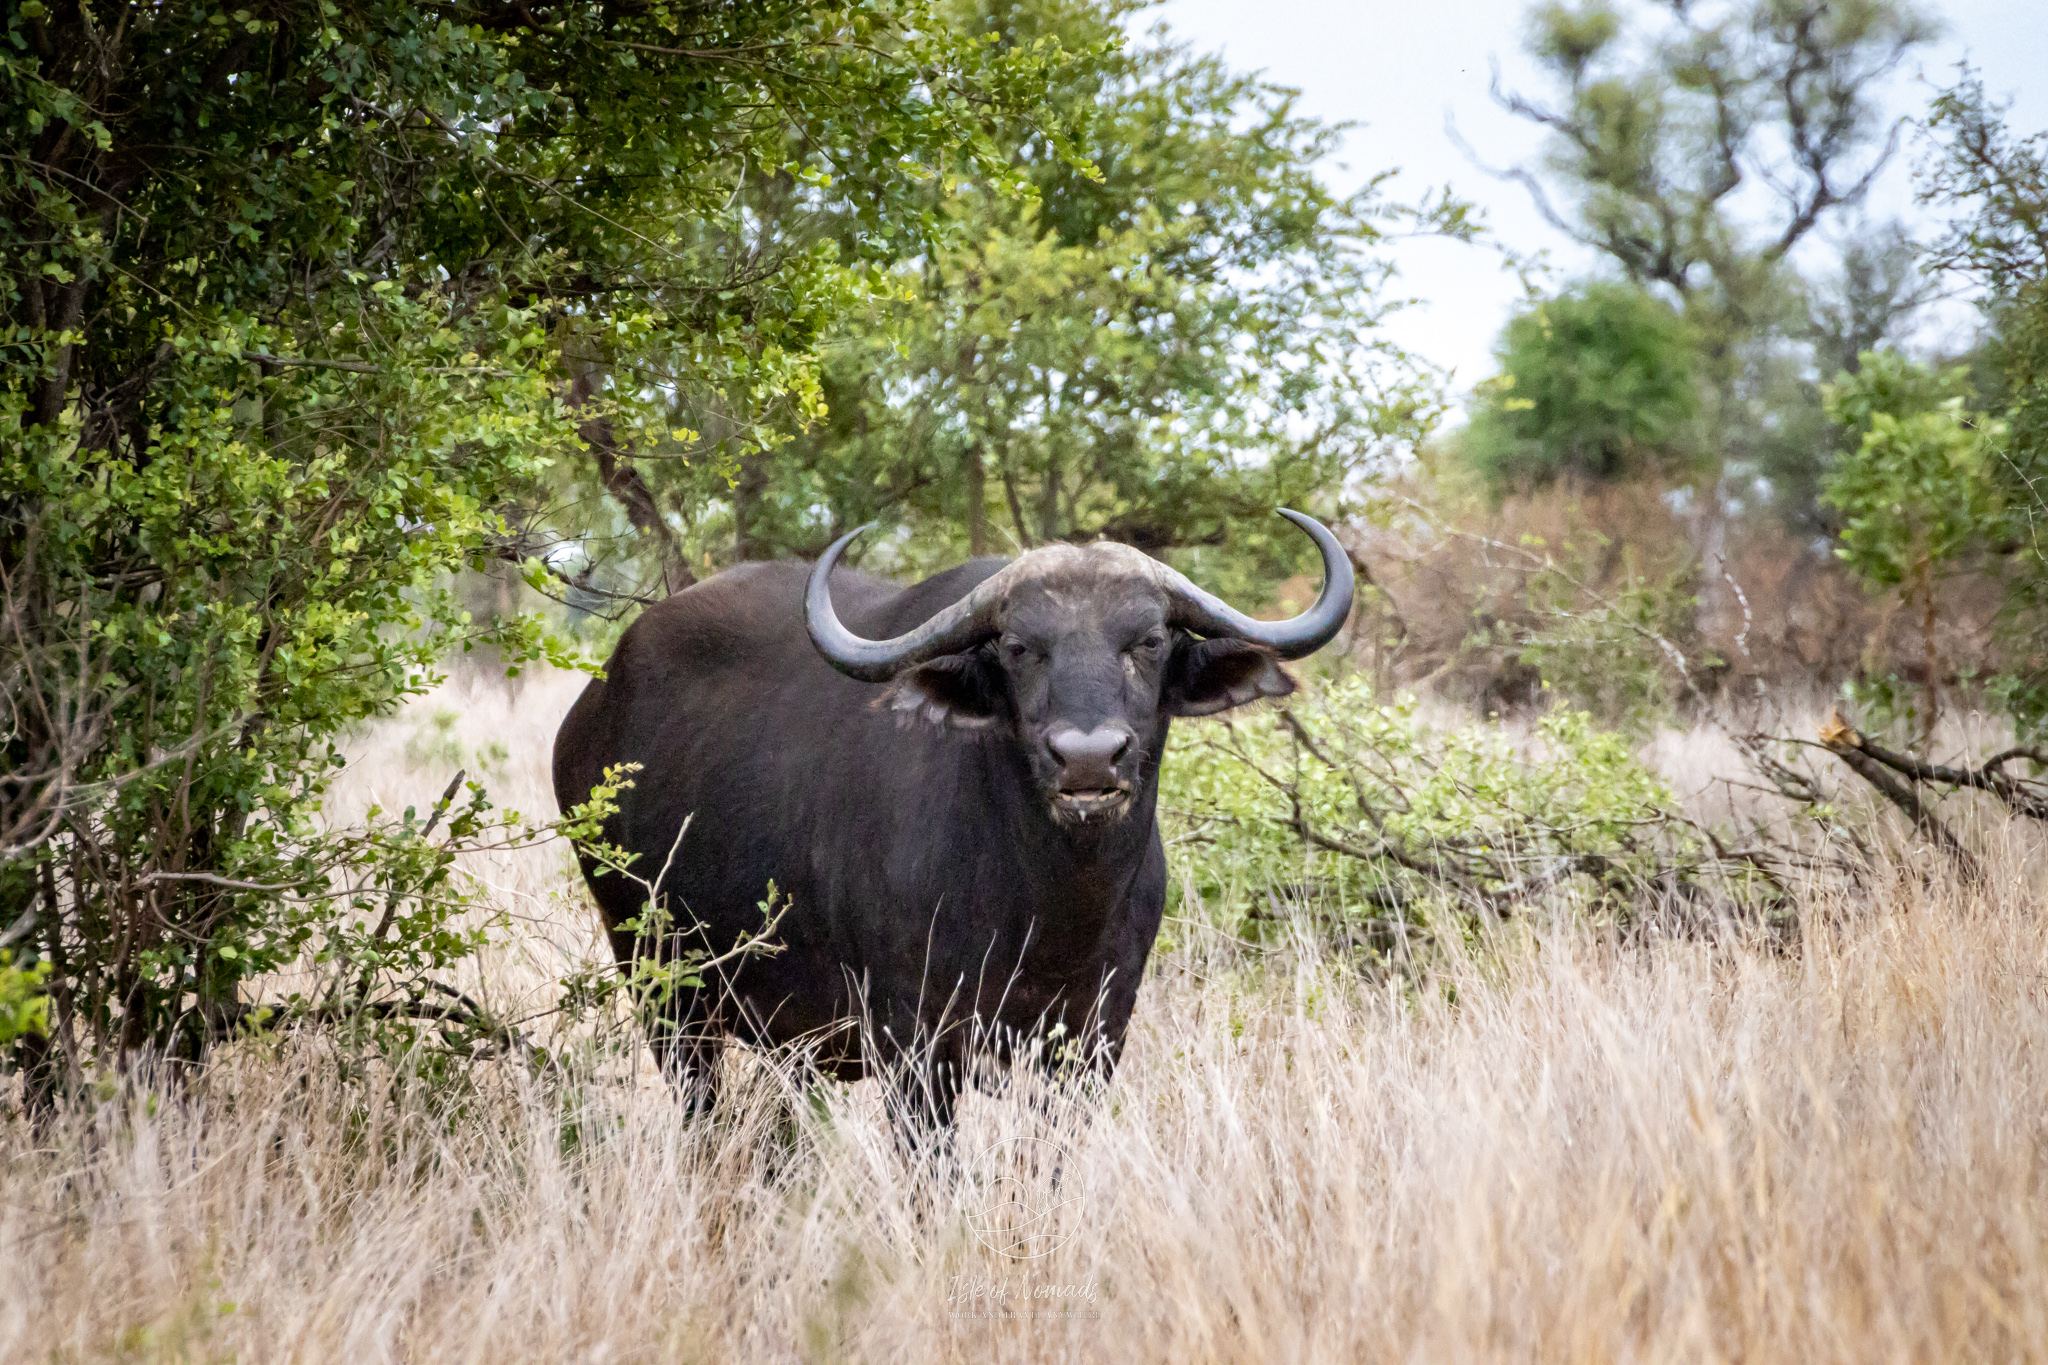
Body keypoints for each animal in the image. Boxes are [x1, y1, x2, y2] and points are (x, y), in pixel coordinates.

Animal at [552, 511, 1351, 1129]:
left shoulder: (1092, 1042)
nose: (1088, 760)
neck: (1048, 906)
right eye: (1020, 647)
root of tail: (591, 713)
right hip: (660, 982)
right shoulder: (915, 1048)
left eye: (1150, 641)